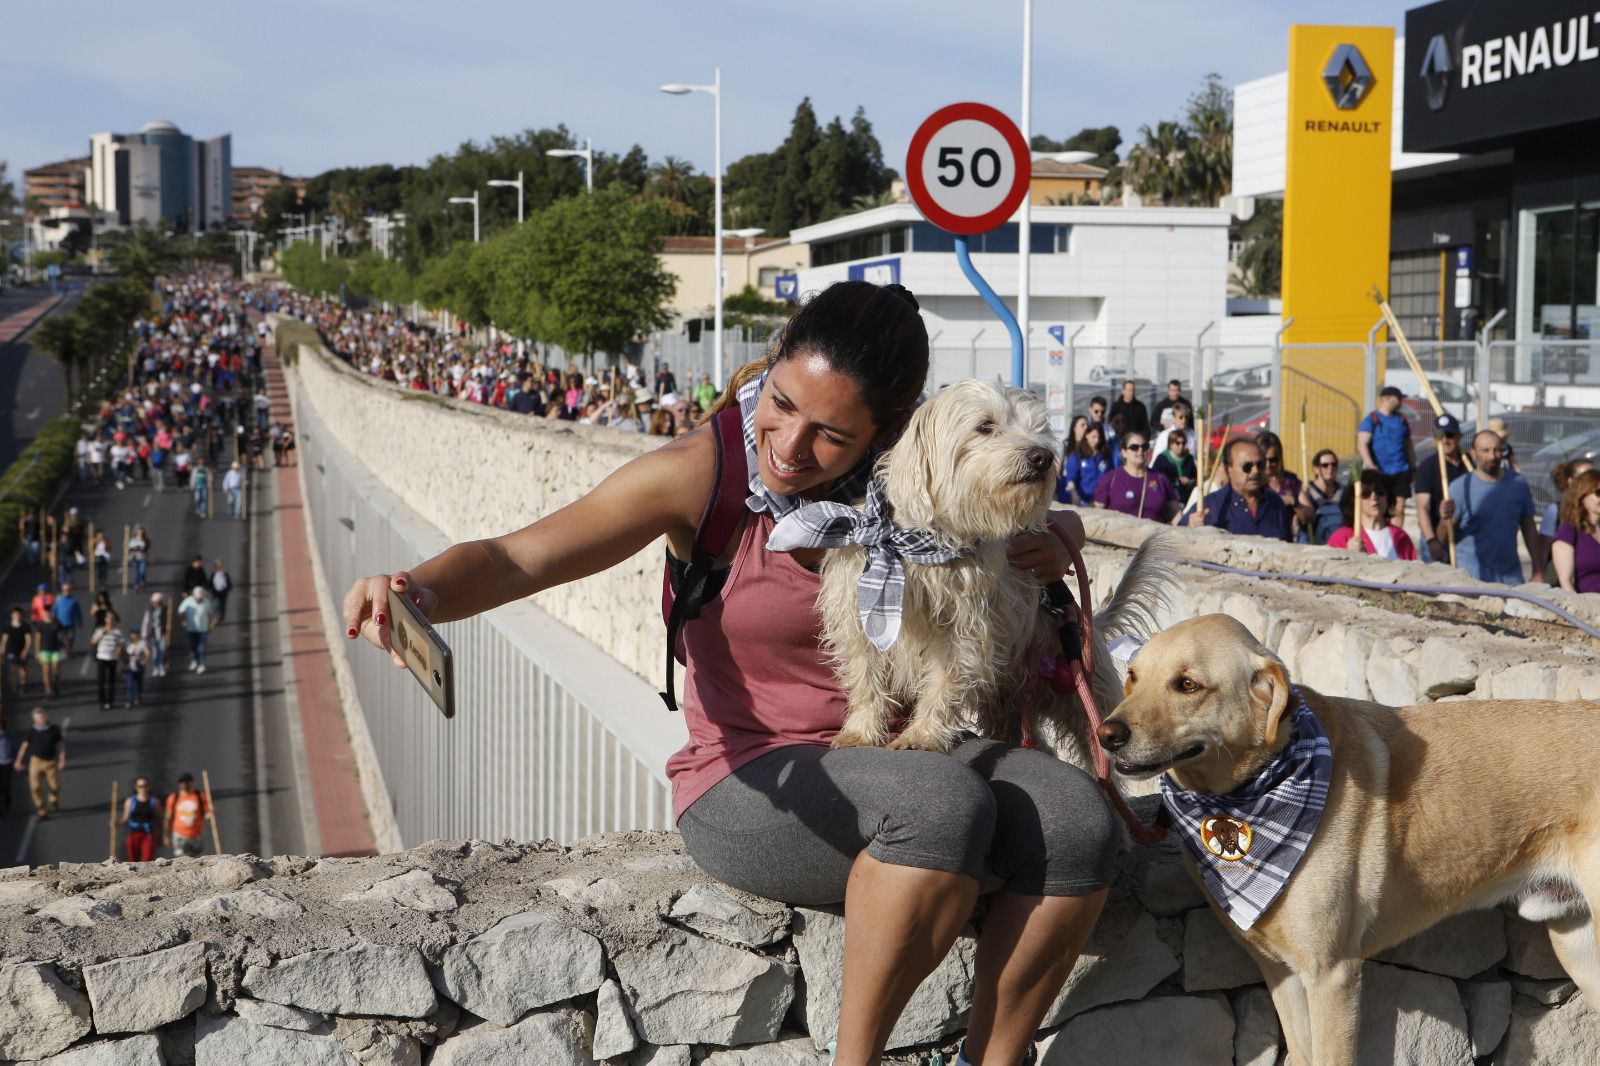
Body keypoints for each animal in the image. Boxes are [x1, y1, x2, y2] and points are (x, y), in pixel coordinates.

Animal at [825, 377, 1177, 758]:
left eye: (1039, 428)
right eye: (985, 426)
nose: (1044, 457)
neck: (922, 545)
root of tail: (1088, 622)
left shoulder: (963, 631)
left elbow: (943, 684)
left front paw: (923, 735)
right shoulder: (859, 621)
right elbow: (866, 679)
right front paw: (860, 732)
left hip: (1086, 703)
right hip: (1009, 706)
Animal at [1100, 614, 1600, 1062]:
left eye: (1187, 685)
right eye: (1133, 677)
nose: (1107, 734)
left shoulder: (1332, 976)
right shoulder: (1281, 973)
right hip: (1579, 949)